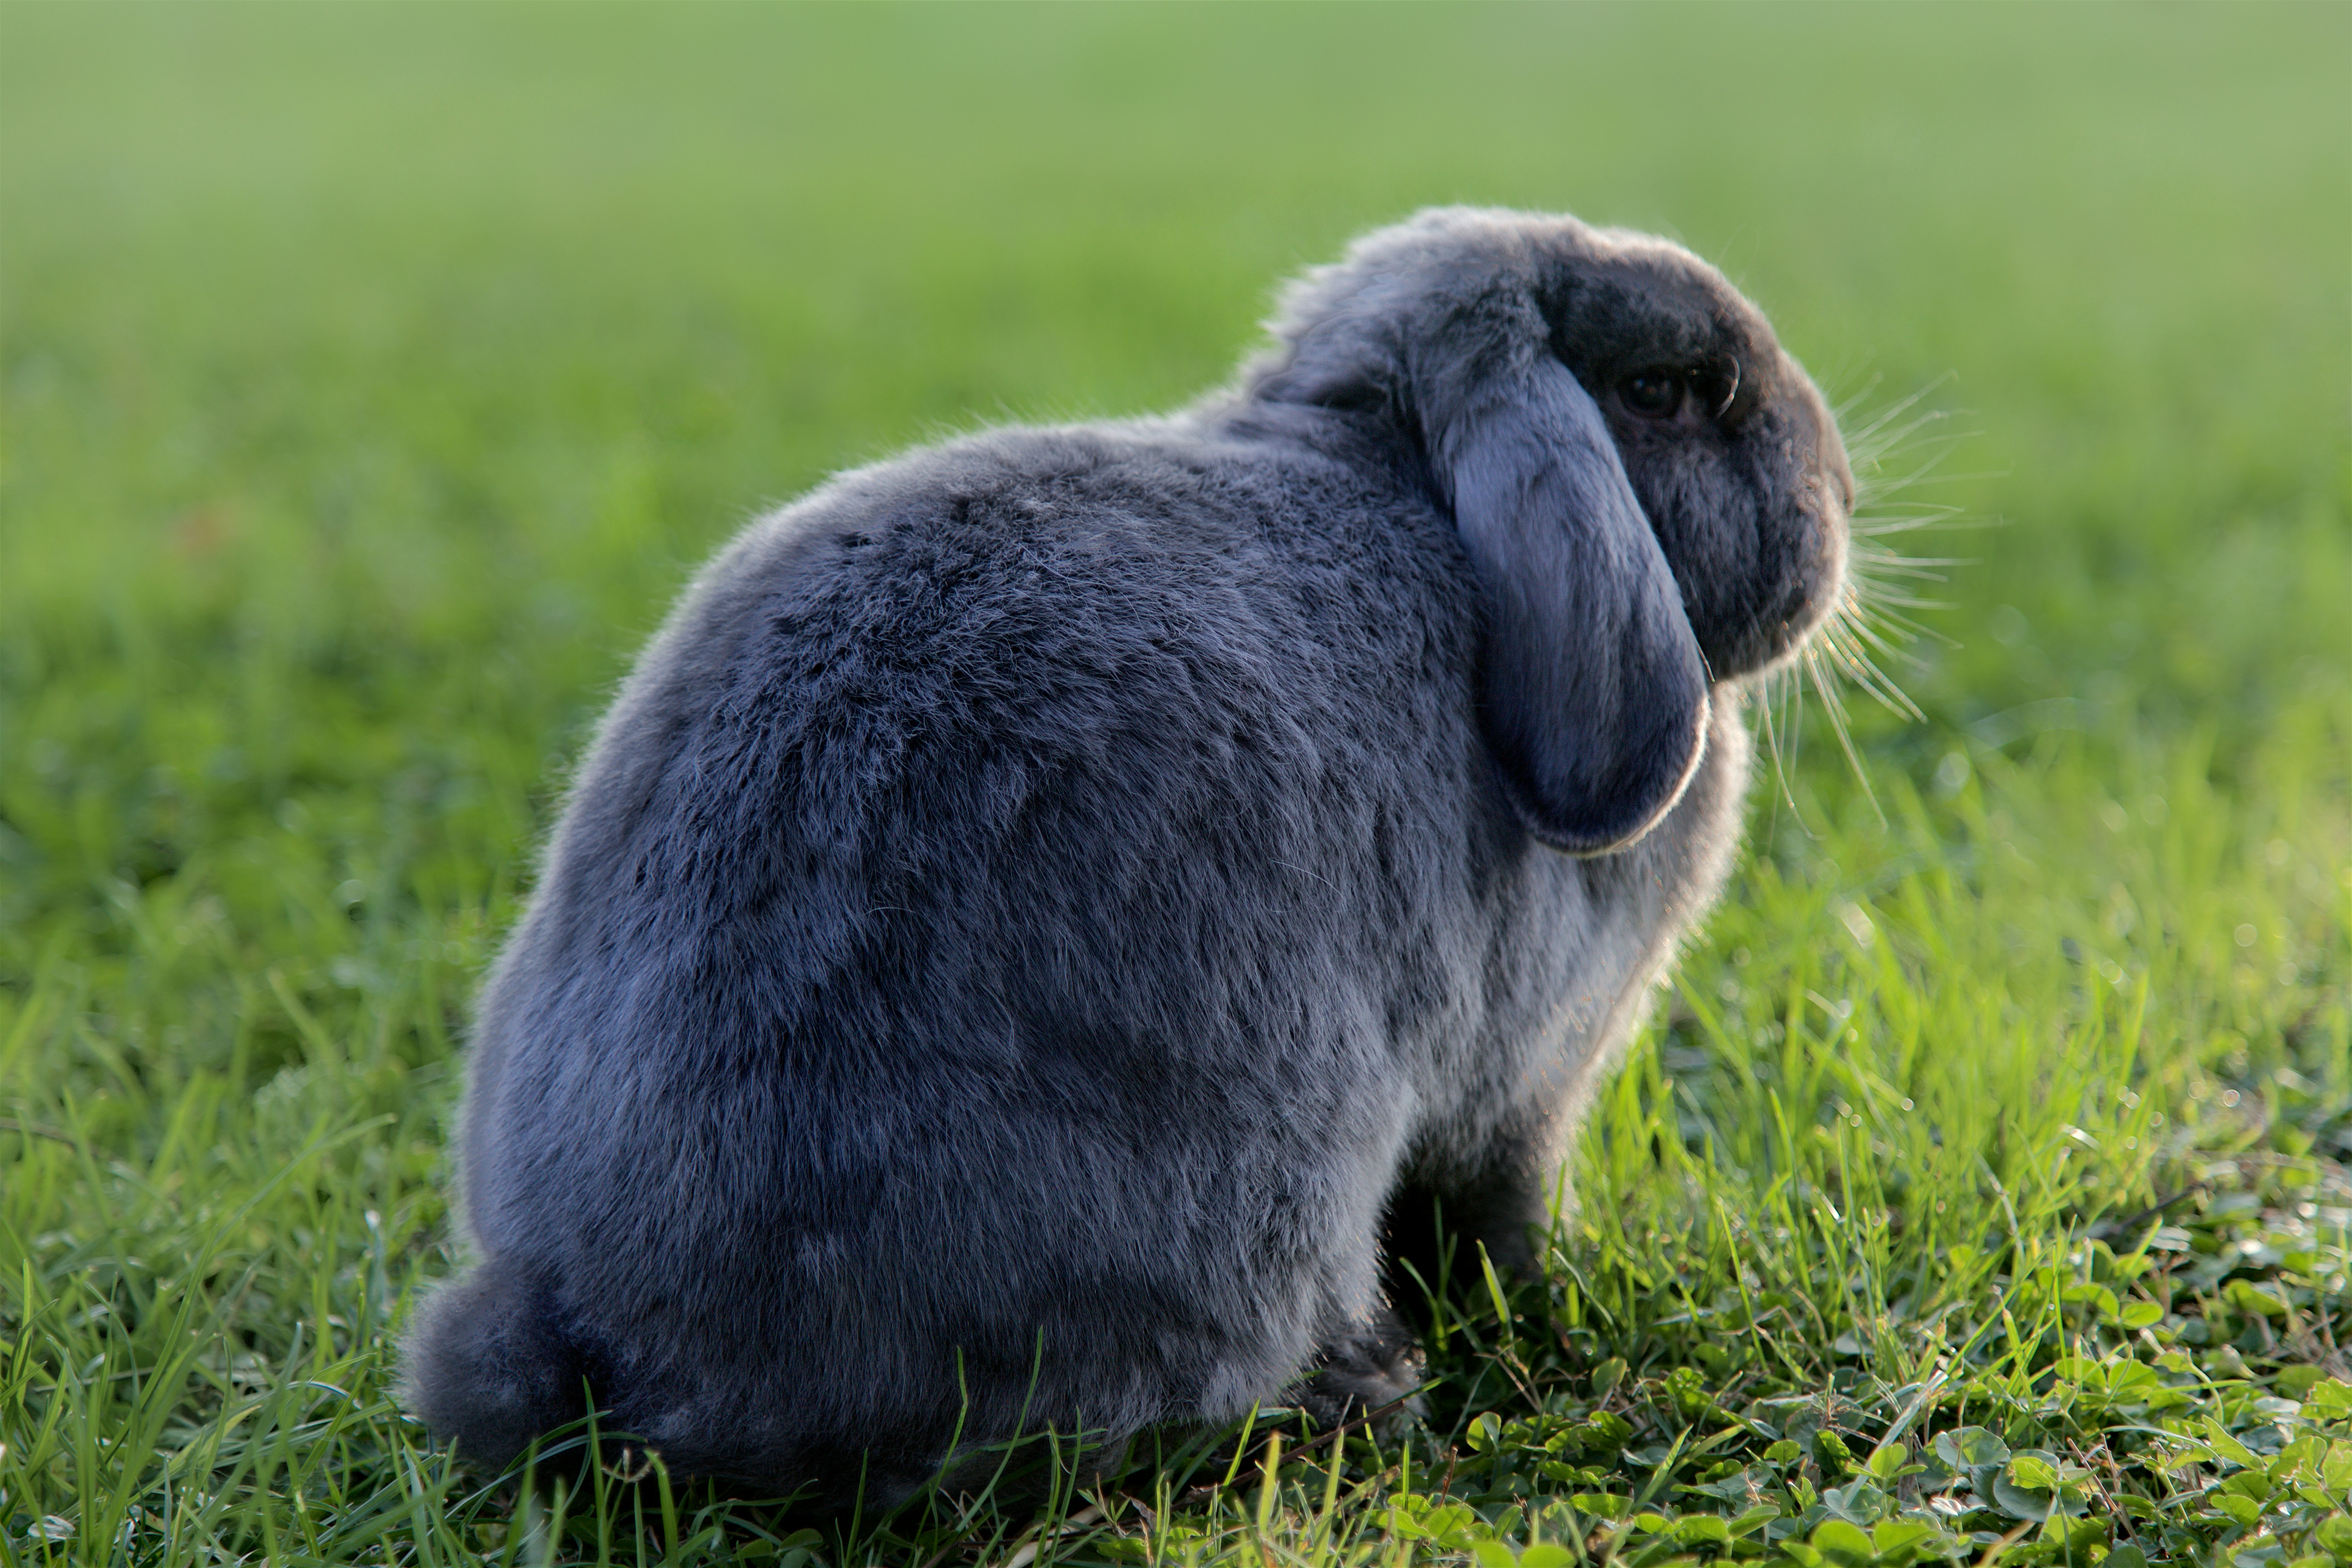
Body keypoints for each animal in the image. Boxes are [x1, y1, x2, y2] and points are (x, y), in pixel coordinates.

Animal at [402, 206, 1852, 1504]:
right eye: (1669, 392)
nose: (1838, 491)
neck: (1406, 486)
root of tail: (631, 1345)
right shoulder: (1523, 1089)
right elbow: (1495, 1230)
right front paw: (1542, 1326)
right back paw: (1366, 1391)